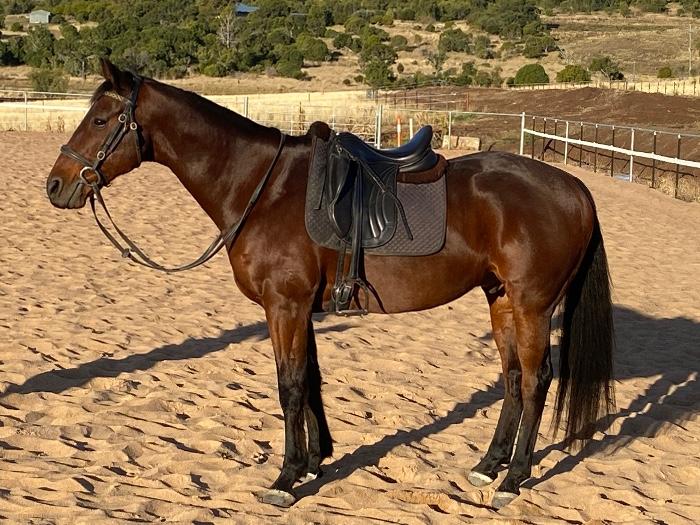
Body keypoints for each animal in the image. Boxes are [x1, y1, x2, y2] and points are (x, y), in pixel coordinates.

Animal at [46, 59, 615, 509]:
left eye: (100, 119)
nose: (55, 185)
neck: (263, 188)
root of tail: (575, 187)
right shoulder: (300, 309)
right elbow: (312, 380)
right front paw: (316, 461)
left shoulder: (285, 307)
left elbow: (290, 386)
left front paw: (285, 478)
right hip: (501, 301)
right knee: (514, 378)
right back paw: (488, 465)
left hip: (532, 305)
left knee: (537, 380)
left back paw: (512, 481)